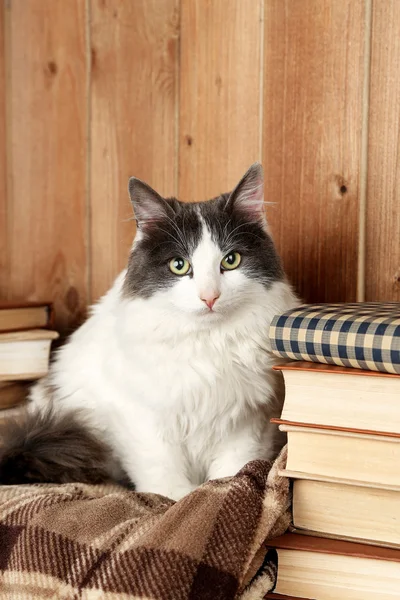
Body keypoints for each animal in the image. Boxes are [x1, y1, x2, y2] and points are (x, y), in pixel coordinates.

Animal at [0, 164, 298, 502]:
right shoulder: (139, 416)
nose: (209, 297)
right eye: (179, 265)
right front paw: (178, 500)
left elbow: (232, 470)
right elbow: (162, 469)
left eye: (231, 260)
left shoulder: (247, 419)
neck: (208, 342)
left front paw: (219, 494)